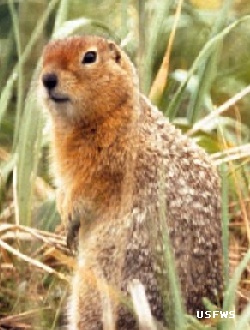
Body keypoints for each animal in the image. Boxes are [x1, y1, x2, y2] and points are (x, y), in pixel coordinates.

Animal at [38, 34, 223, 328]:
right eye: (45, 54)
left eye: (89, 57)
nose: (47, 79)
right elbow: (65, 190)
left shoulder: (109, 166)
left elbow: (84, 192)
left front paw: (68, 220)